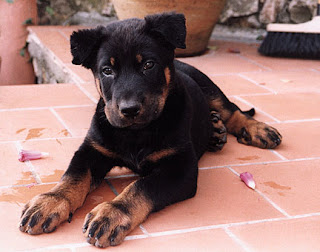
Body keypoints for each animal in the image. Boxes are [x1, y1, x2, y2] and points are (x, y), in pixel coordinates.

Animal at [18, 12, 282, 248]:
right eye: (107, 70)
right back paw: (216, 130)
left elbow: (141, 186)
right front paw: (49, 203)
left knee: (233, 110)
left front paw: (112, 212)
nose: (129, 109)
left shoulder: (180, 168)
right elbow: (72, 177)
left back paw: (258, 130)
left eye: (148, 64)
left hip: (209, 87)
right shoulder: (92, 149)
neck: (137, 132)